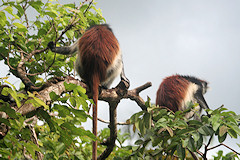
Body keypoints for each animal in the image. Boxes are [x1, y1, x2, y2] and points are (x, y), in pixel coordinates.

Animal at [47, 24, 129, 160]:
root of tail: (95, 70)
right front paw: (124, 76)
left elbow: (70, 50)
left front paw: (52, 47)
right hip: (107, 70)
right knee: (118, 63)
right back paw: (103, 86)